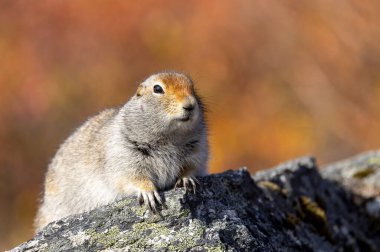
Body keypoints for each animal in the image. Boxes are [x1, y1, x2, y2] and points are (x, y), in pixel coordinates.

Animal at [34, 72, 209, 231]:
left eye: (193, 87)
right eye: (158, 89)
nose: (190, 105)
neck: (170, 137)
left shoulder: (197, 150)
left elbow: (191, 167)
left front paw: (187, 179)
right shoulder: (124, 155)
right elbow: (132, 176)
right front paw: (149, 193)